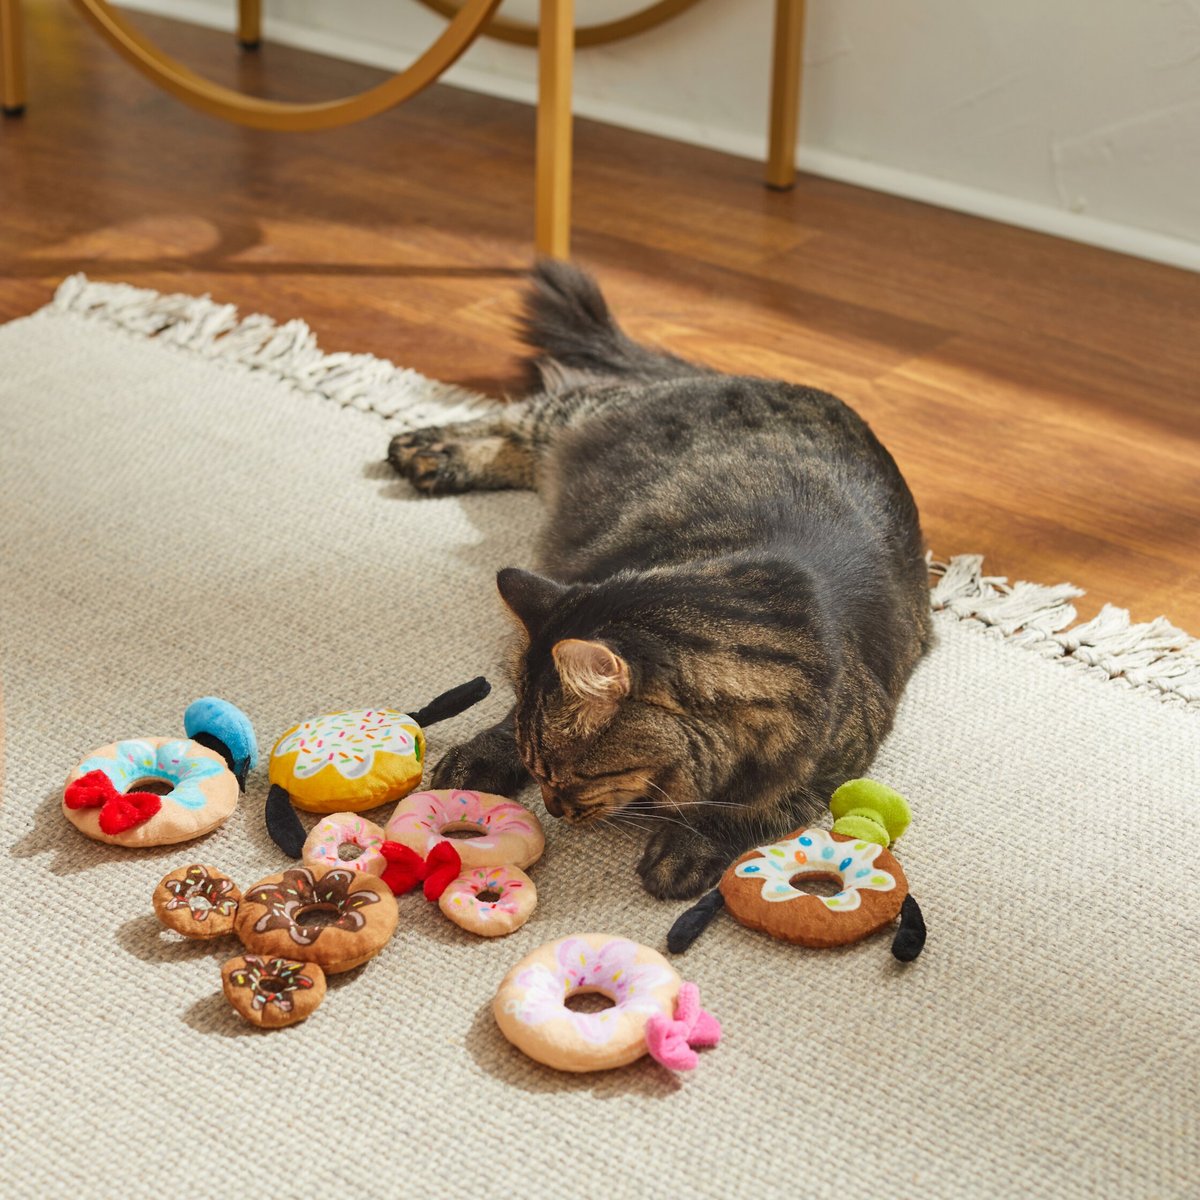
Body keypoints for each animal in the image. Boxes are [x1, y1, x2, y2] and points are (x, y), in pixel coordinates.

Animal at [388, 265, 931, 902]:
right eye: (540, 769)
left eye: (568, 775)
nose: (552, 805)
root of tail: (744, 376)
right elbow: (509, 717)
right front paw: (480, 761)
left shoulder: (835, 765)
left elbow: (758, 807)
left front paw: (688, 847)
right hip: (574, 415)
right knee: (516, 413)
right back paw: (423, 449)